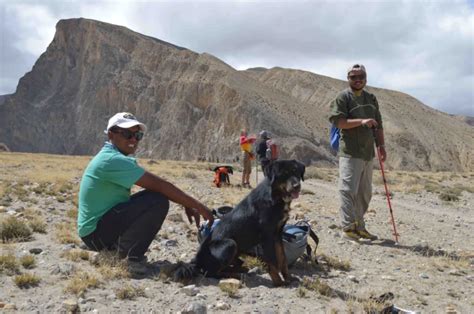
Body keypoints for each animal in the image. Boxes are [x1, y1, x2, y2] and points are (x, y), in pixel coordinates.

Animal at [176, 161, 306, 286]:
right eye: (284, 174)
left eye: (297, 173)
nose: (297, 186)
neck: (275, 196)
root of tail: (197, 261)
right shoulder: (267, 237)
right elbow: (272, 262)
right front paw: (279, 282)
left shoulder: (277, 234)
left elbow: (283, 259)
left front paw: (288, 278)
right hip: (230, 244)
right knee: (211, 273)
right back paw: (236, 275)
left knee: (236, 263)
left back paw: (241, 270)